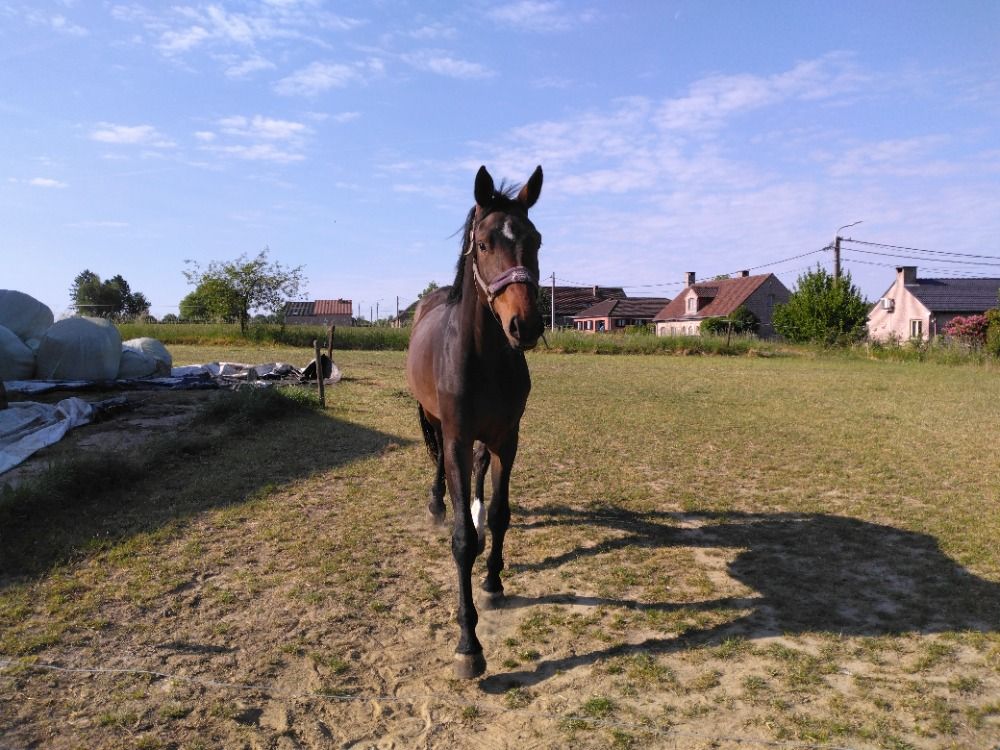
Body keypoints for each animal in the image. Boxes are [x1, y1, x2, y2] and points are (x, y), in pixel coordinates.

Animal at [406, 164, 544, 679]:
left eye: (536, 240)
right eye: (483, 244)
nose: (525, 325)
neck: (484, 357)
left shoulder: (508, 438)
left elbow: (501, 513)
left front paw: (493, 582)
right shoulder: (456, 439)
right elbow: (462, 540)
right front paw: (469, 644)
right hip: (433, 421)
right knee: (437, 465)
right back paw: (437, 505)